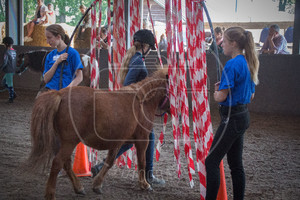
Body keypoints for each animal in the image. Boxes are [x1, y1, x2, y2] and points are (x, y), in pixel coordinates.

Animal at [26, 68, 169, 198]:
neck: (142, 101)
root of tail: (60, 95)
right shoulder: (143, 139)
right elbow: (142, 161)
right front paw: (145, 184)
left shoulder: (118, 141)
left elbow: (109, 161)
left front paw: (97, 185)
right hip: (69, 142)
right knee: (57, 163)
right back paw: (51, 194)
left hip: (62, 142)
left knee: (65, 164)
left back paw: (79, 188)